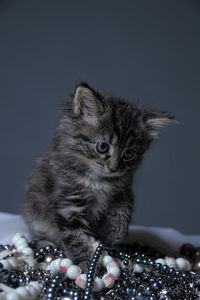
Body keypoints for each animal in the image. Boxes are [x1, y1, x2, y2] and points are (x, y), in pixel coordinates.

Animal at [21, 83, 174, 270]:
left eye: (129, 153)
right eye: (102, 147)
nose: (114, 168)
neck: (98, 180)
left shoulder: (124, 190)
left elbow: (124, 209)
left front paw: (117, 232)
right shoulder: (67, 205)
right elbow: (75, 238)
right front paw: (87, 264)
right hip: (35, 217)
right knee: (40, 236)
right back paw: (46, 245)